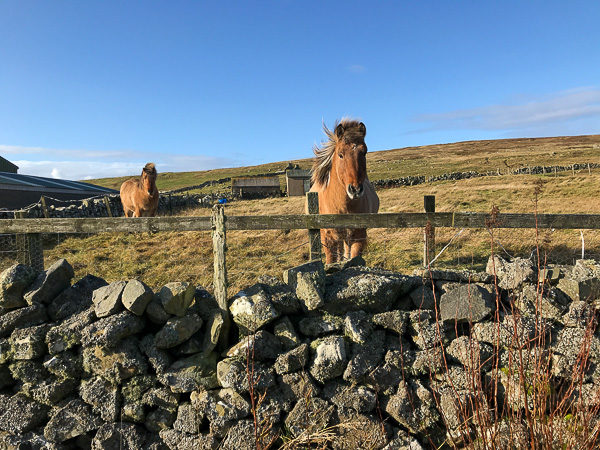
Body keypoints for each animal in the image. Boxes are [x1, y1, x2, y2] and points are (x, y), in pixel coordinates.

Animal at [308, 119, 379, 263]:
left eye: (364, 152)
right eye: (340, 154)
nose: (355, 189)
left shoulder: (358, 236)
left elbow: (354, 258)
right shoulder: (328, 238)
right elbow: (330, 260)